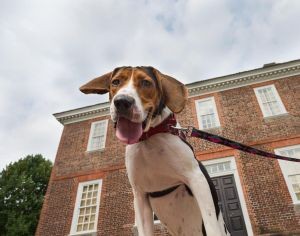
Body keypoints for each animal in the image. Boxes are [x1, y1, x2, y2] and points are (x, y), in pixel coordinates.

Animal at [79, 66, 230, 236]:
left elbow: (211, 225)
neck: (149, 138)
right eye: (115, 82)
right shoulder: (140, 195)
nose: (122, 102)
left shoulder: (197, 180)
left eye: (146, 82)